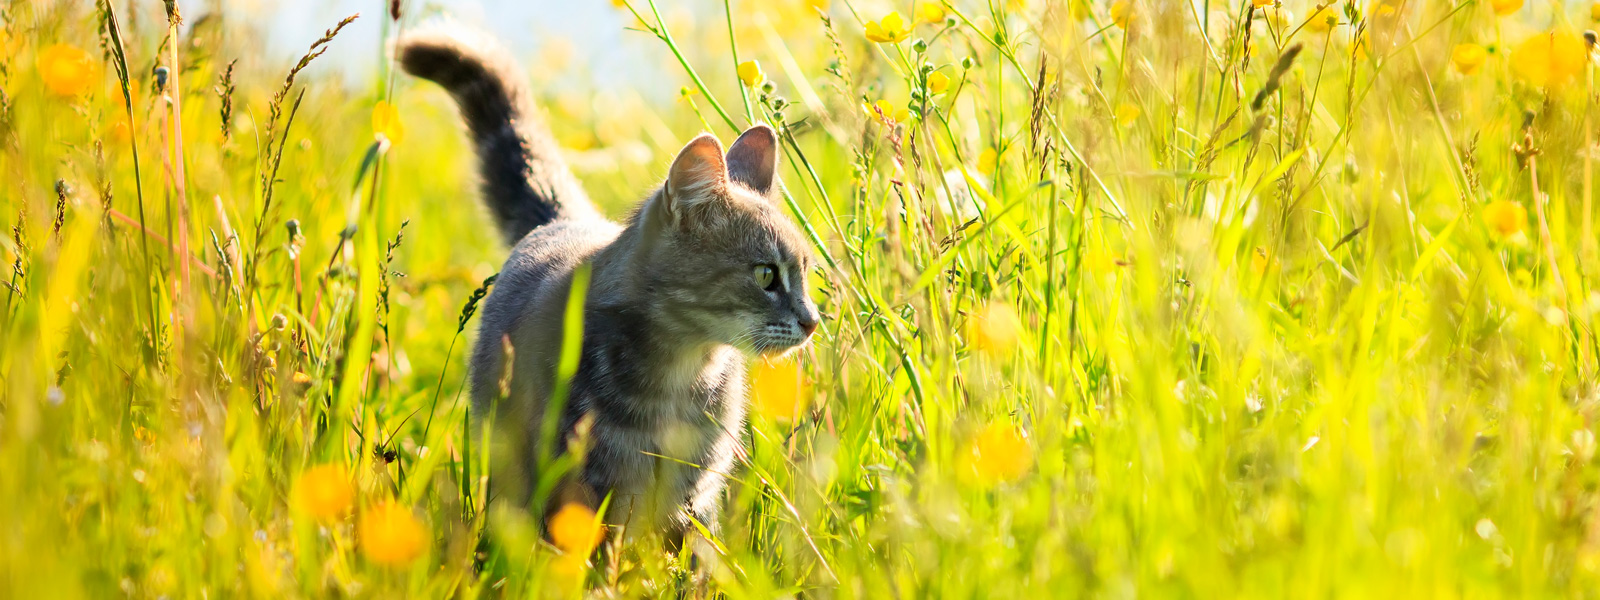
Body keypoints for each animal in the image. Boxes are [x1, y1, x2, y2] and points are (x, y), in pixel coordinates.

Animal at [395, 27, 819, 553]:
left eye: (806, 271)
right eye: (765, 276)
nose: (812, 321)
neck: (680, 375)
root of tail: (567, 220)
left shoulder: (695, 498)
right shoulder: (581, 492)